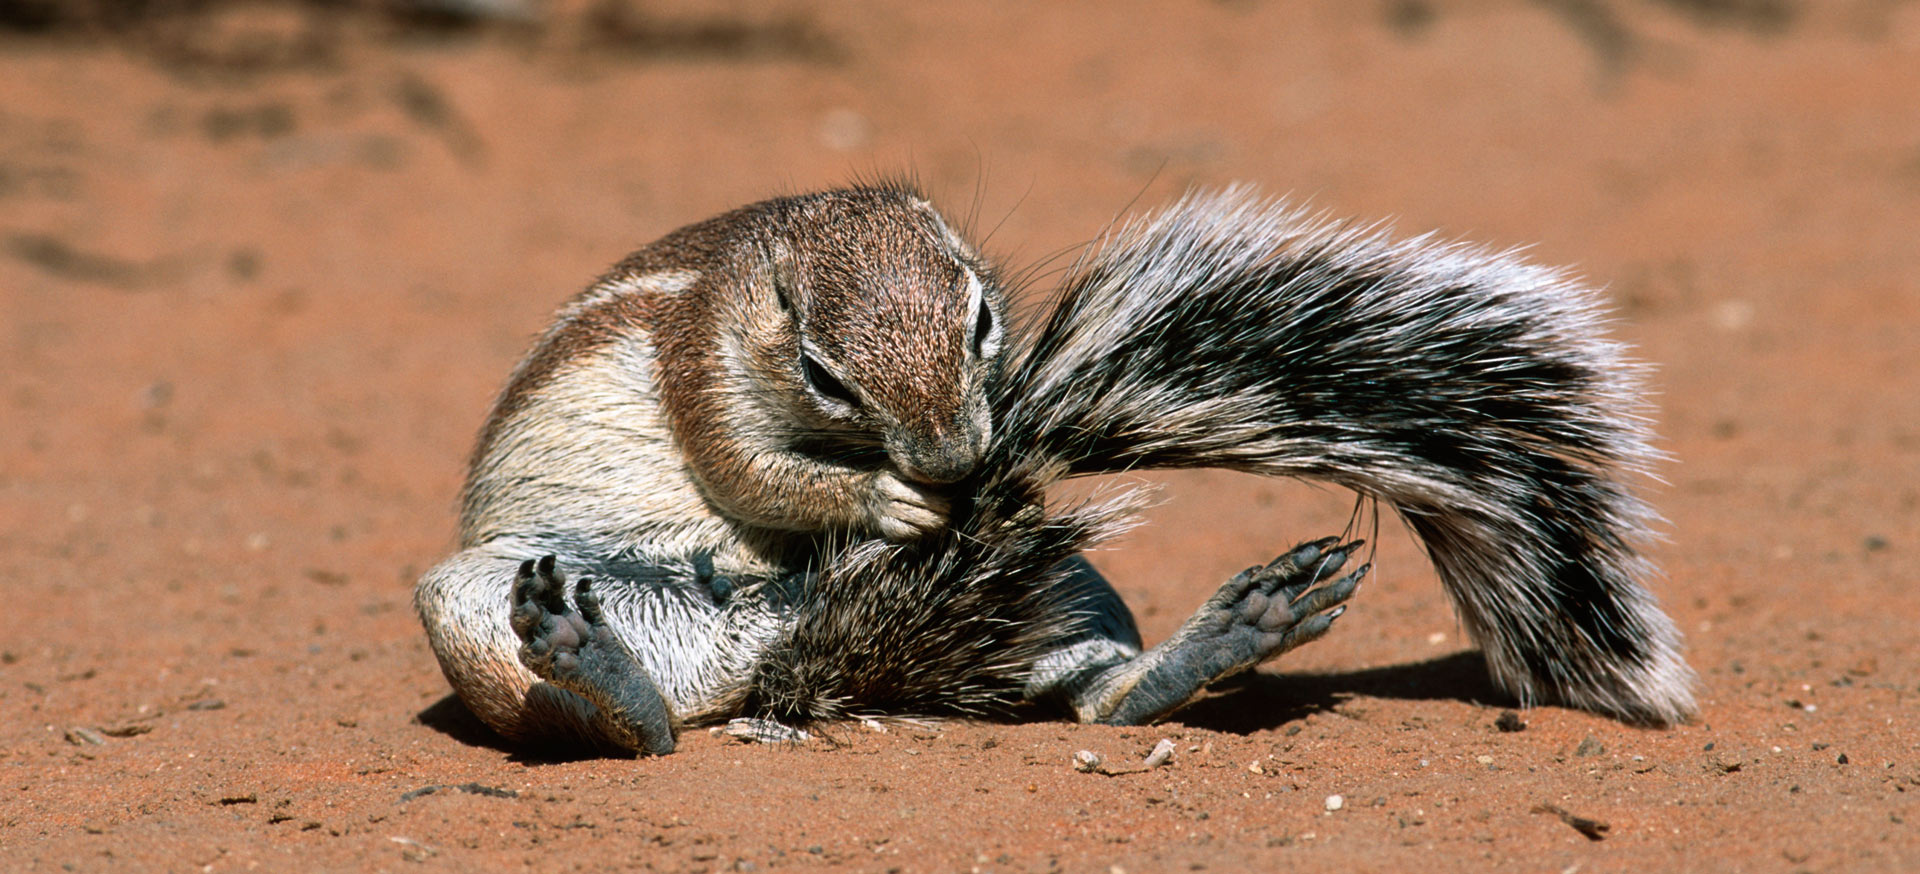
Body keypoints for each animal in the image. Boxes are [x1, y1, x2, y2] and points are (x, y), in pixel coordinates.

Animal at [412, 183, 1689, 752]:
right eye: (825, 372)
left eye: (984, 320)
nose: (958, 459)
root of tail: (780, 662)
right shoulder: (700, 369)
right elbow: (748, 473)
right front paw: (881, 498)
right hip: (484, 596)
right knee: (626, 726)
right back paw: (599, 670)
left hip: (1069, 589)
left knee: (1088, 691)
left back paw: (1225, 636)